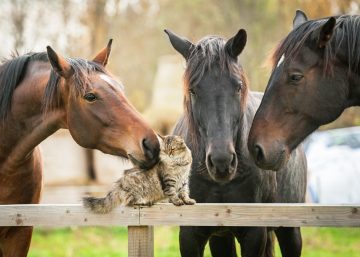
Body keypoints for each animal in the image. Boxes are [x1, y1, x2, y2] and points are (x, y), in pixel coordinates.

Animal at [165, 28, 306, 256]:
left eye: (238, 87)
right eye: (193, 90)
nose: (221, 161)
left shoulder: (254, 233)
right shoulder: (190, 233)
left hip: (290, 231)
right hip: (222, 236)